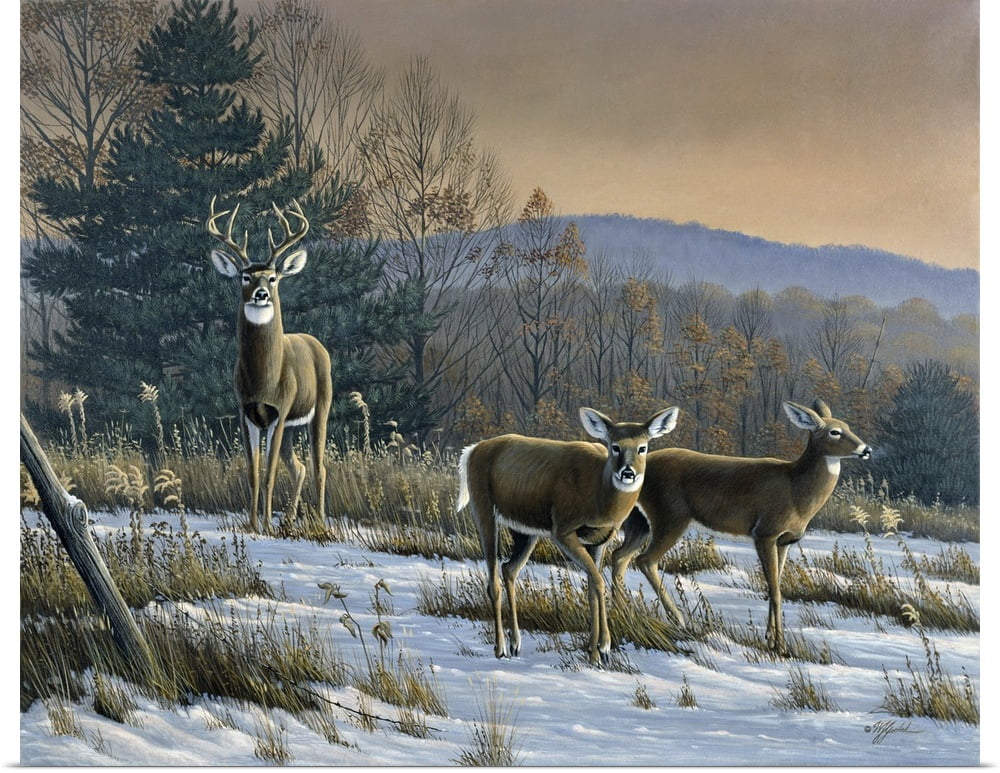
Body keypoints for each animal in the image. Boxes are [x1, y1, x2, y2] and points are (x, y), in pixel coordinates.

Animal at [207, 196, 333, 533]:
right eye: (245, 276)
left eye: (273, 277)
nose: (261, 294)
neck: (265, 379)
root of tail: (316, 343)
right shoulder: (246, 411)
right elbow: (253, 473)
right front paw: (252, 524)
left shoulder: (280, 409)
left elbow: (270, 473)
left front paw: (266, 525)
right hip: (291, 426)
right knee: (299, 466)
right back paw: (289, 517)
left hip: (321, 407)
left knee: (319, 466)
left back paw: (321, 522)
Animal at [455, 405, 679, 665]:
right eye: (615, 446)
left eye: (643, 447)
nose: (628, 472)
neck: (599, 497)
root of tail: (471, 451)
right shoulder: (562, 529)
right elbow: (598, 581)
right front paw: (603, 647)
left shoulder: (600, 540)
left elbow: (593, 585)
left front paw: (596, 651)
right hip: (483, 507)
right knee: (493, 581)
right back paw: (500, 648)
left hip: (525, 530)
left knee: (509, 569)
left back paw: (516, 644)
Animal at [609, 399, 871, 653]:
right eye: (835, 432)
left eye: (848, 427)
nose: (866, 450)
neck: (795, 489)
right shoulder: (764, 532)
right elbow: (775, 590)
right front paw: (780, 645)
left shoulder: (784, 541)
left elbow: (775, 586)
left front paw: (770, 638)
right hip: (670, 516)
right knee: (645, 560)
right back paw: (679, 620)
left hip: (639, 521)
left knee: (620, 555)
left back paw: (622, 611)